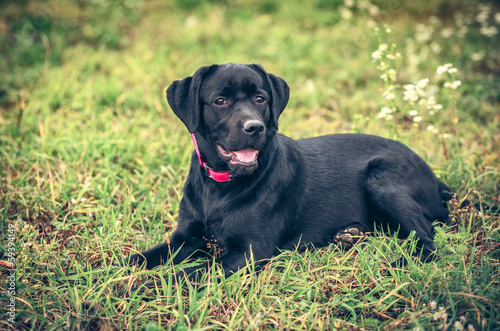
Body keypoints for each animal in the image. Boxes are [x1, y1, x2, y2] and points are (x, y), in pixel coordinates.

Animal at [128, 63, 450, 286]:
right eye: (220, 101)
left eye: (260, 98)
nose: (254, 127)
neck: (220, 186)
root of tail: (435, 178)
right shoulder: (185, 239)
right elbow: (140, 258)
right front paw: (119, 271)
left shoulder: (248, 252)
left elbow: (188, 273)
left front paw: (143, 287)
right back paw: (349, 235)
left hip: (381, 179)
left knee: (426, 238)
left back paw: (395, 267)